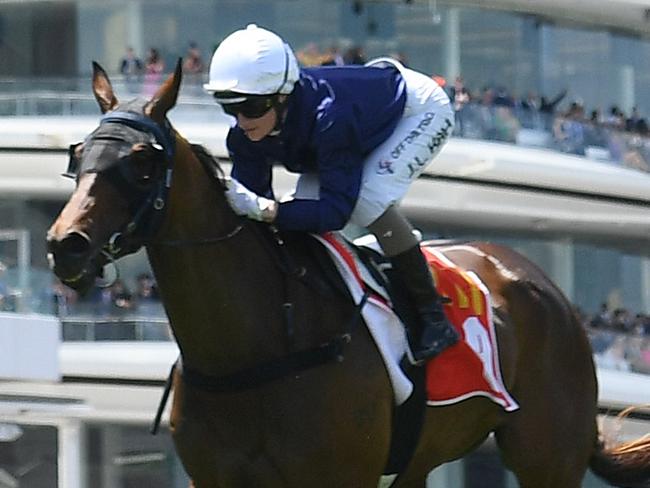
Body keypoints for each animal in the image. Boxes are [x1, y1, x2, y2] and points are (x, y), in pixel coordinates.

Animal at [46, 62, 648, 488]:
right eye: (79, 154)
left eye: (143, 161)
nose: (65, 245)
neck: (253, 348)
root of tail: (540, 284)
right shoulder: (214, 478)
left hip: (547, 454)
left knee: (375, 200)